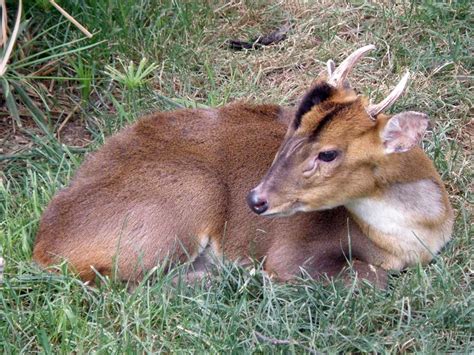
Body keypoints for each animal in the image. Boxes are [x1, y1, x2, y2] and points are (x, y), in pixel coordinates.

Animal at [33, 46, 452, 288]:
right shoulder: (291, 251)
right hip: (192, 193)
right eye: (292, 130)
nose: (256, 200)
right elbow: (370, 277)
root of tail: (45, 247)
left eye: (329, 154)